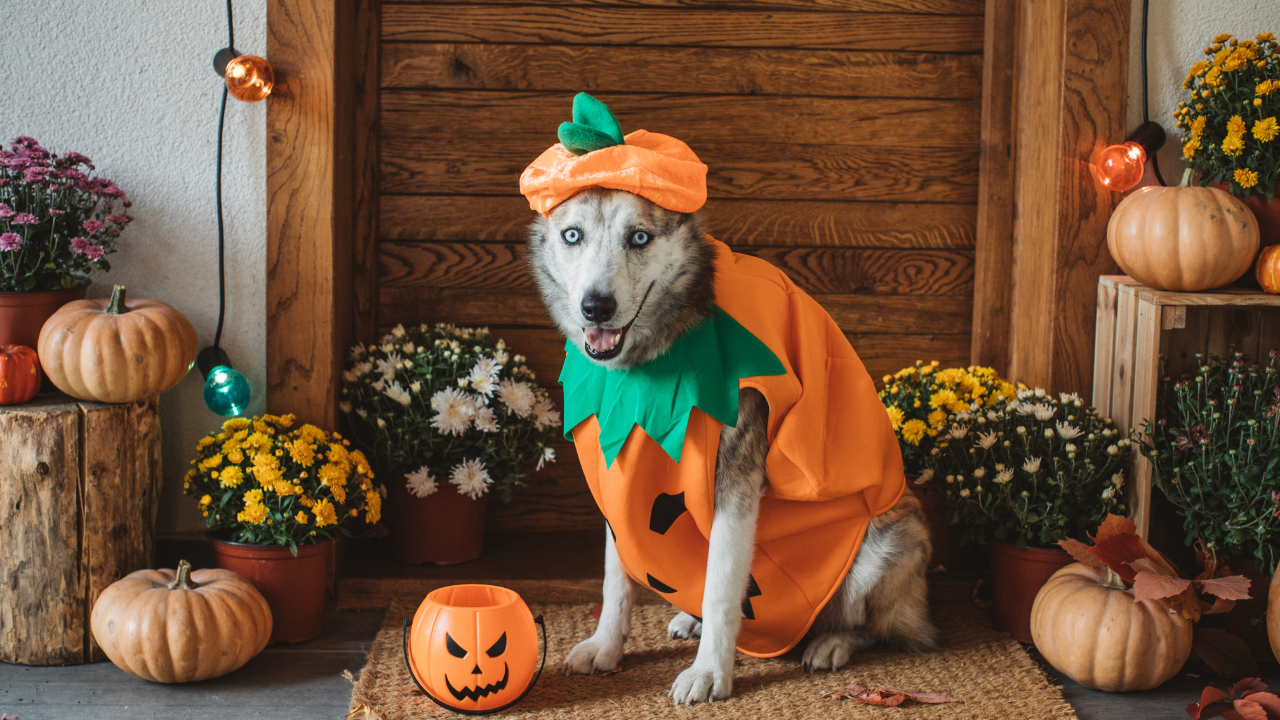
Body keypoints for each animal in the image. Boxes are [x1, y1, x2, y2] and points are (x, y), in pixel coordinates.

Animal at [524, 189, 936, 702]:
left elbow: (721, 586)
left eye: (639, 237)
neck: (661, 352)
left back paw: (832, 642)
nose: (595, 307)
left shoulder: (735, 479)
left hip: (893, 541)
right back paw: (692, 620)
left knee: (876, 628)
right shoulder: (615, 474)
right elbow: (615, 577)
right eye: (572, 235)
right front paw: (606, 646)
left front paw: (709, 673)